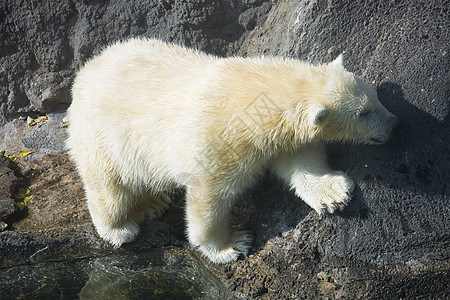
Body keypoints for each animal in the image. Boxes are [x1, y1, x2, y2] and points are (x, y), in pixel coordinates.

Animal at [67, 38, 398, 264]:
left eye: (375, 95)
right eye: (363, 113)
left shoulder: (280, 137)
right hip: (104, 138)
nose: (394, 124)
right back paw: (120, 228)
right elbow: (209, 198)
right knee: (109, 188)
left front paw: (333, 194)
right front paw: (232, 245)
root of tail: (85, 73)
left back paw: (153, 203)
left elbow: (301, 160)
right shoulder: (218, 144)